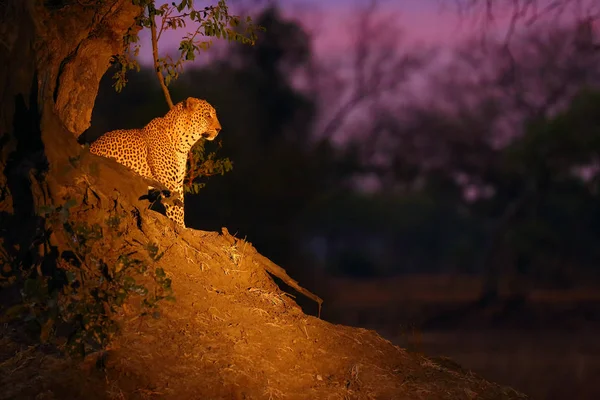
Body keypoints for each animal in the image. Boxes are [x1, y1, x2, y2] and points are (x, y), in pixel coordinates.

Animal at [88, 97, 221, 227]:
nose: (219, 129)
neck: (183, 144)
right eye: (208, 115)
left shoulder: (177, 183)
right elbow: (176, 212)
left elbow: (180, 208)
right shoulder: (170, 184)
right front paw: (180, 229)